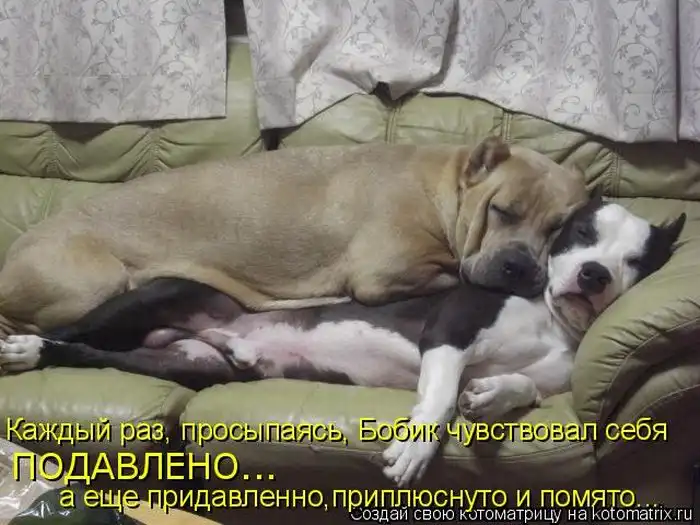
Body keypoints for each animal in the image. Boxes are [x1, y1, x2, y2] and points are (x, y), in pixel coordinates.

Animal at [0, 137, 588, 338]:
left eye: (559, 227)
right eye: (502, 211)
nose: (521, 267)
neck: (442, 189)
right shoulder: (383, 274)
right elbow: (447, 276)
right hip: (95, 281)